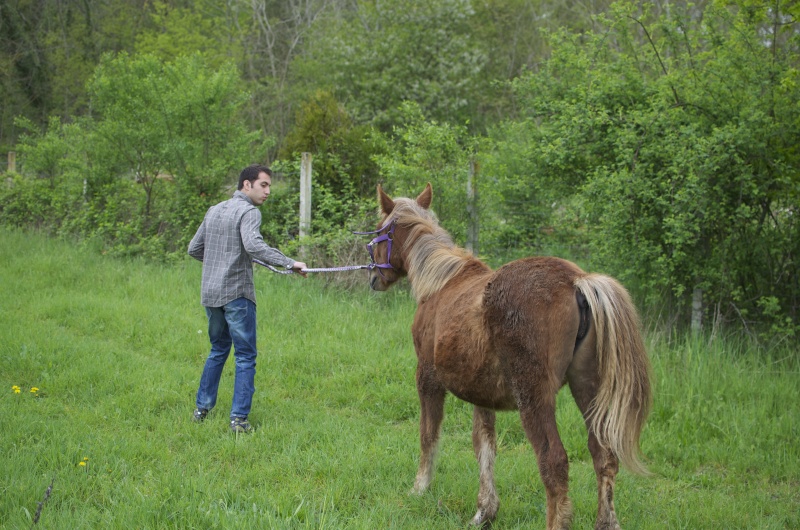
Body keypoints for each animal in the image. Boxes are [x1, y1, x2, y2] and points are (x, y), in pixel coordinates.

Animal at [366, 183, 652, 528]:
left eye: (379, 231)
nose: (373, 278)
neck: (441, 281)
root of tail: (578, 281)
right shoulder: (481, 395)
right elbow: (484, 445)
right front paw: (484, 511)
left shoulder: (428, 378)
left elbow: (428, 434)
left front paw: (420, 488)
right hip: (588, 388)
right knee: (604, 455)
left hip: (535, 397)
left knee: (554, 461)